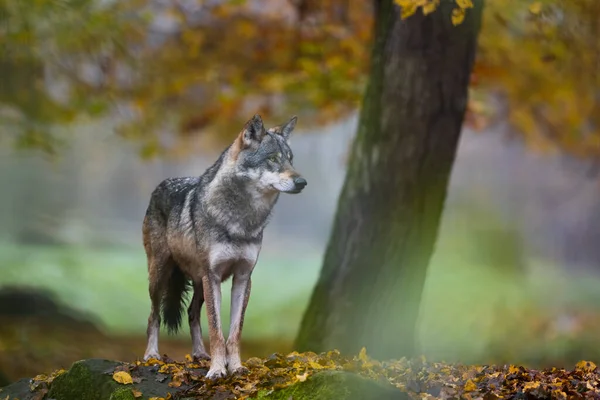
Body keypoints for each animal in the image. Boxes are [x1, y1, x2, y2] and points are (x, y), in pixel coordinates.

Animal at [142, 113, 304, 378]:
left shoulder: (243, 278)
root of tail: (160, 185)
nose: (302, 182)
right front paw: (217, 370)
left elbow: (234, 332)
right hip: (161, 277)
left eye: (290, 160)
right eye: (272, 159)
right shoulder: (214, 276)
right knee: (153, 317)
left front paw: (235, 367)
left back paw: (199, 354)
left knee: (192, 314)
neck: (242, 220)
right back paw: (151, 355)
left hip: (199, 282)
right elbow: (217, 330)